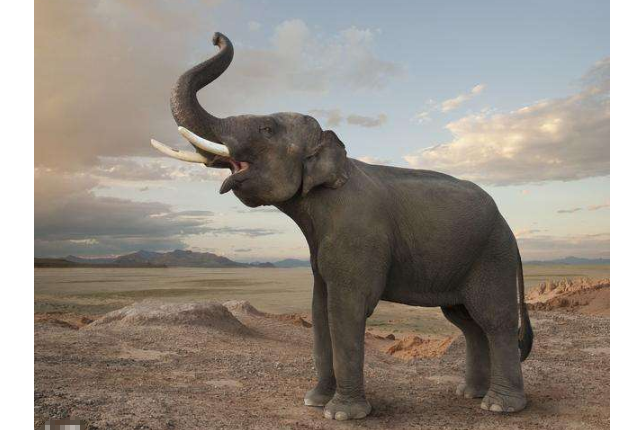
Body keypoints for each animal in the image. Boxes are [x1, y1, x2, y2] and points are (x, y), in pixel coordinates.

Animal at [151, 32, 533, 421]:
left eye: (266, 129)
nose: (215, 37)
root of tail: (509, 229)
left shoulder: (356, 235)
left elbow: (346, 311)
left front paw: (341, 414)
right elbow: (320, 310)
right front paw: (315, 401)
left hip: (491, 256)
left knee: (494, 320)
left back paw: (499, 405)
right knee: (467, 322)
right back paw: (470, 394)